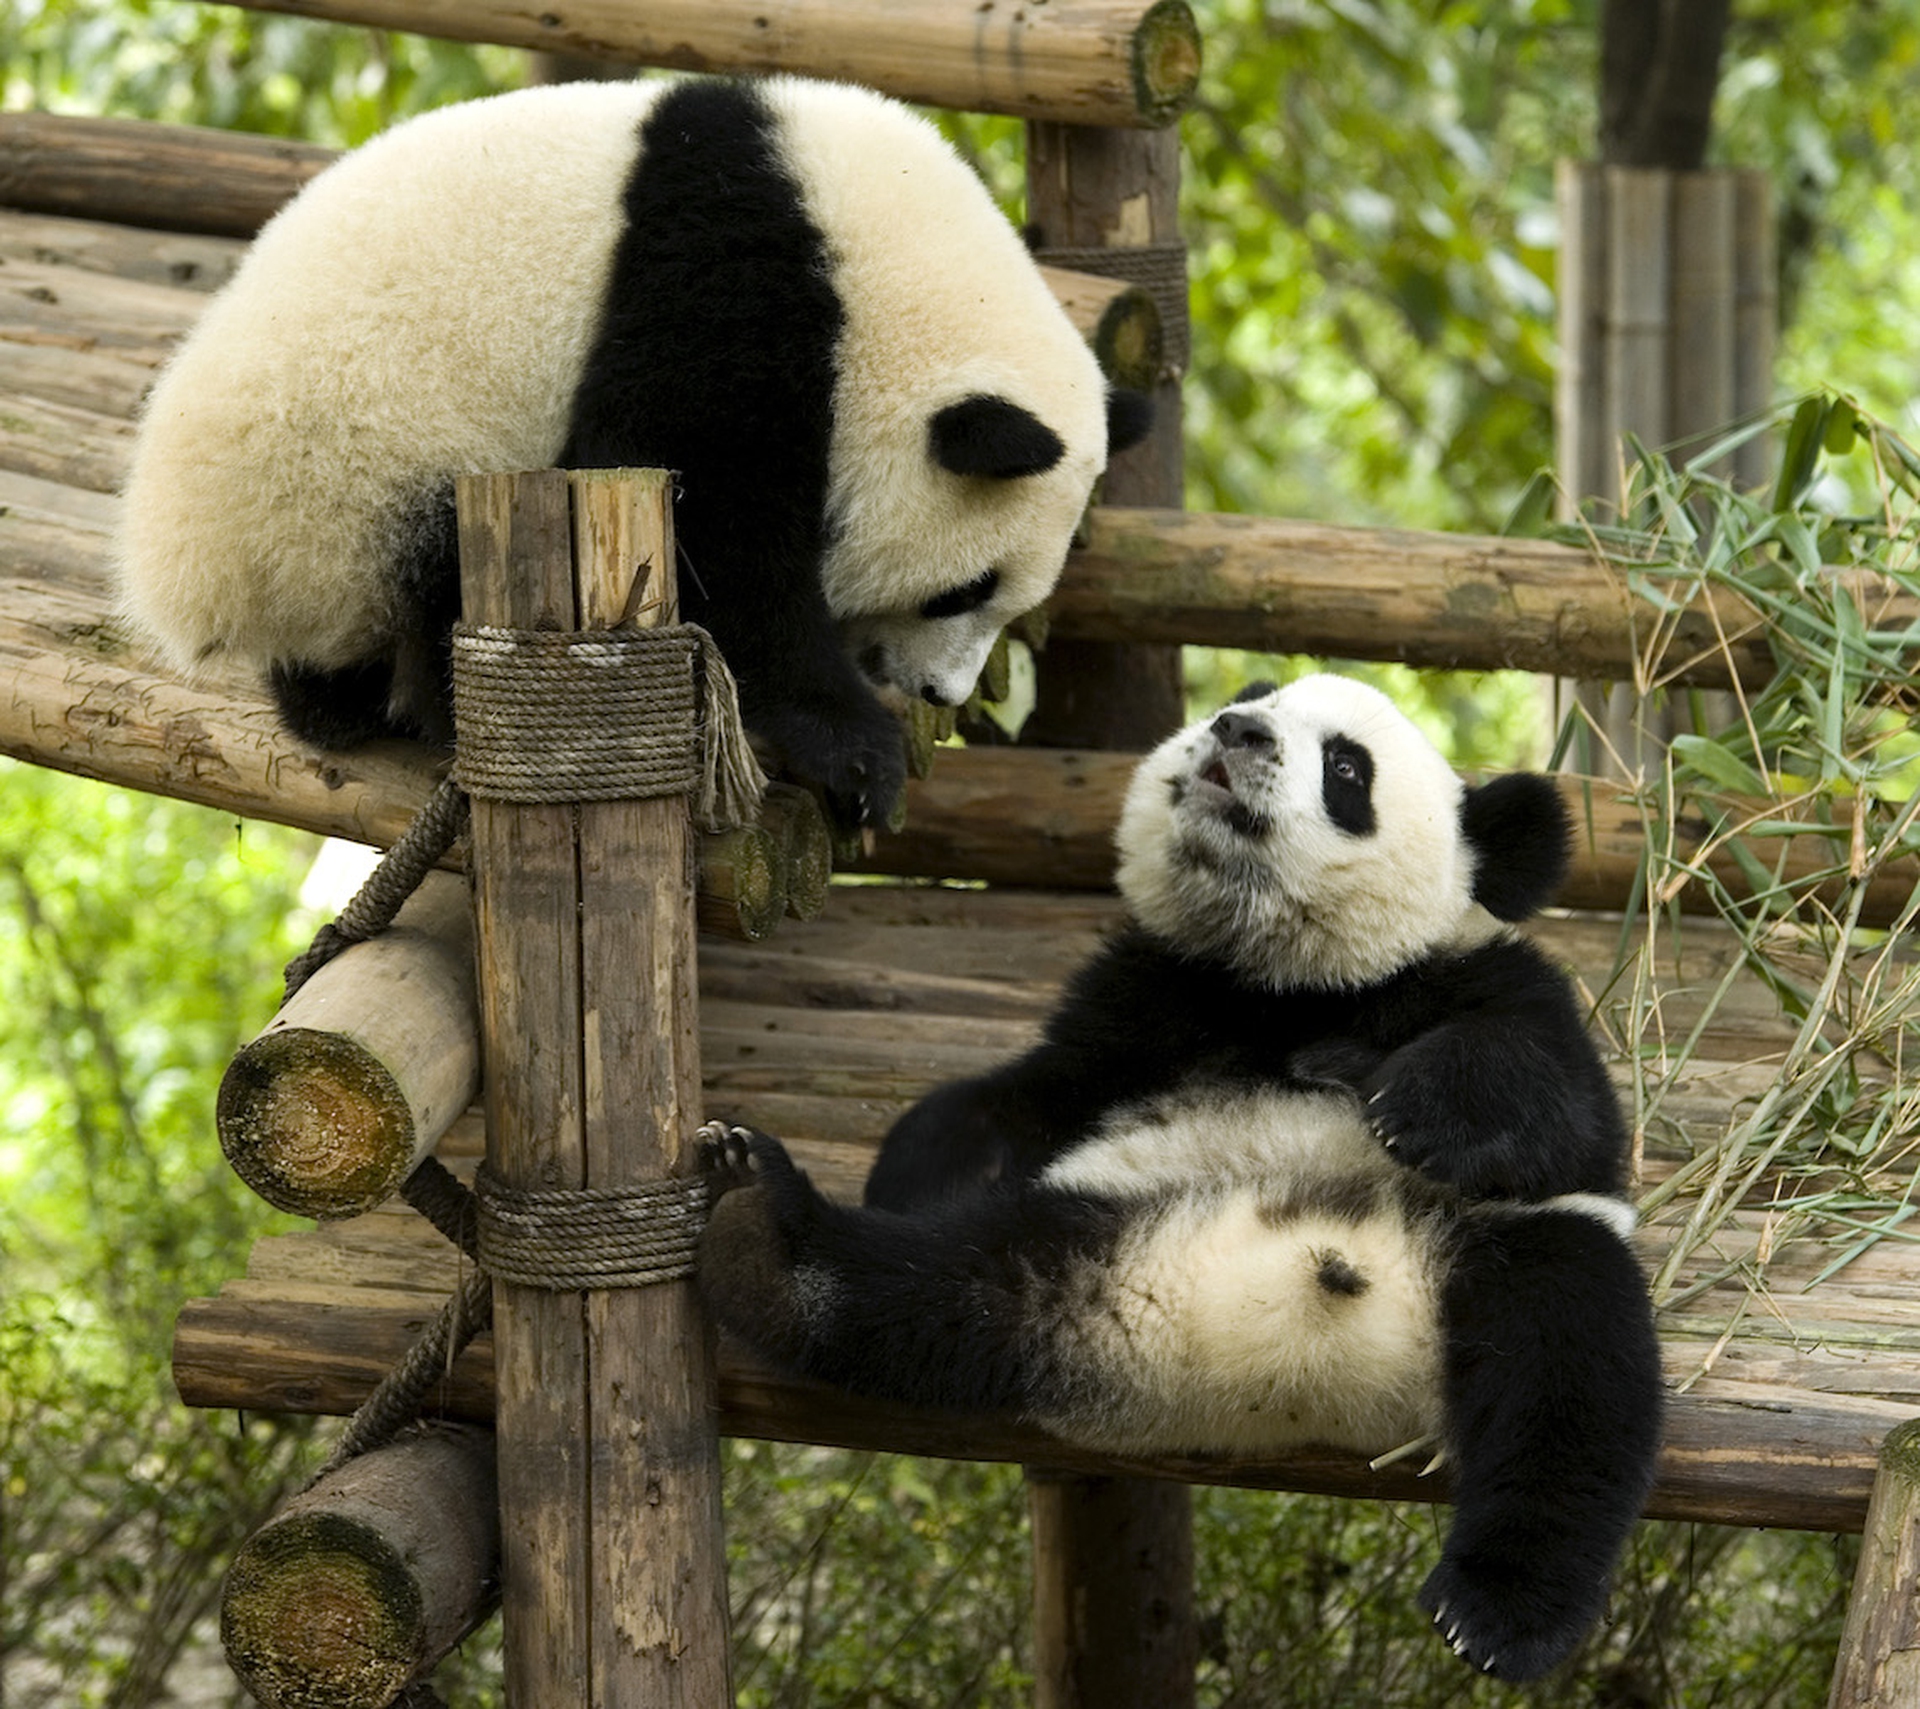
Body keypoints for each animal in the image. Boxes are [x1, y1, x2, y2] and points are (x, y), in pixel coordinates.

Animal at [116, 75, 1148, 826]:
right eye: (962, 591)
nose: (939, 686)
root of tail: (175, 567)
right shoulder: (731, 273)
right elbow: (709, 515)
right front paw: (855, 751)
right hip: (350, 470)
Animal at [696, 673, 1665, 1682]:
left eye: (1346, 767)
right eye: (1254, 697)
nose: (1237, 731)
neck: (1280, 976)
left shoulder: (1477, 979)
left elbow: (1563, 1102)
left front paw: (1405, 1105)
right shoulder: (1146, 996)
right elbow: (1022, 1099)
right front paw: (918, 1162)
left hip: (1500, 1255)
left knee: (1572, 1376)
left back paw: (1498, 1613)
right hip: (1079, 1234)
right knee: (928, 1284)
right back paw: (766, 1236)